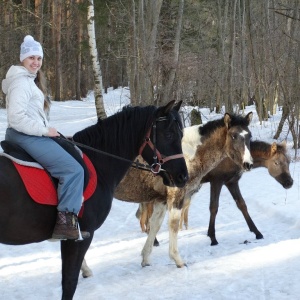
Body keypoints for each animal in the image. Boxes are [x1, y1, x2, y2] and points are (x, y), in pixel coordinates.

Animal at [0, 101, 188, 300]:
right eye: (169, 135)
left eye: (182, 135)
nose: (183, 176)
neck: (99, 163)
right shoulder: (81, 236)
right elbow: (69, 282)